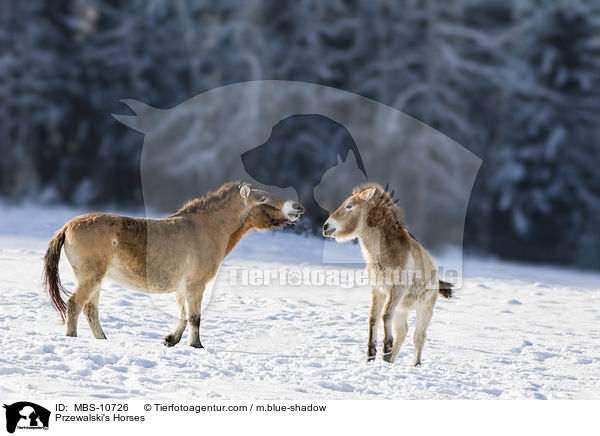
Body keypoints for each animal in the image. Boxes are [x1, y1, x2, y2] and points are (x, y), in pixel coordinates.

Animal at [42, 182, 302, 350]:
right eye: (263, 199)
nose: (297, 208)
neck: (204, 230)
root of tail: (67, 227)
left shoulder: (182, 288)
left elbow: (183, 315)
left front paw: (170, 340)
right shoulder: (195, 285)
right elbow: (195, 317)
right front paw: (196, 346)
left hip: (95, 279)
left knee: (90, 310)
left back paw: (102, 340)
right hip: (91, 278)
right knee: (74, 305)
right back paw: (72, 339)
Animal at [324, 182, 450, 366]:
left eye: (349, 206)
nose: (326, 227)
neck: (385, 254)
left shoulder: (397, 289)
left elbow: (384, 315)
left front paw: (385, 348)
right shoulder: (378, 291)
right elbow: (373, 317)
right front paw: (372, 354)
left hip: (425, 308)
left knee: (418, 336)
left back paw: (415, 364)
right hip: (402, 309)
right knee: (402, 331)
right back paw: (389, 360)